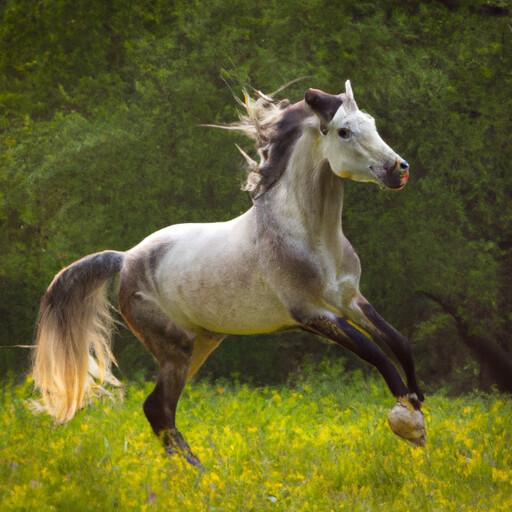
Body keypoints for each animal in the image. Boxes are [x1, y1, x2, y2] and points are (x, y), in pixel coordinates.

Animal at [31, 81, 424, 468]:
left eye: (372, 123)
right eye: (344, 131)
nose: (399, 169)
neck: (311, 237)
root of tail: (125, 258)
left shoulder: (350, 299)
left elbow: (396, 340)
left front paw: (418, 403)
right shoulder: (312, 314)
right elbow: (375, 353)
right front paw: (408, 419)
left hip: (203, 342)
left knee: (157, 407)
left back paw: (193, 471)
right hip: (177, 349)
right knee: (159, 408)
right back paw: (198, 474)